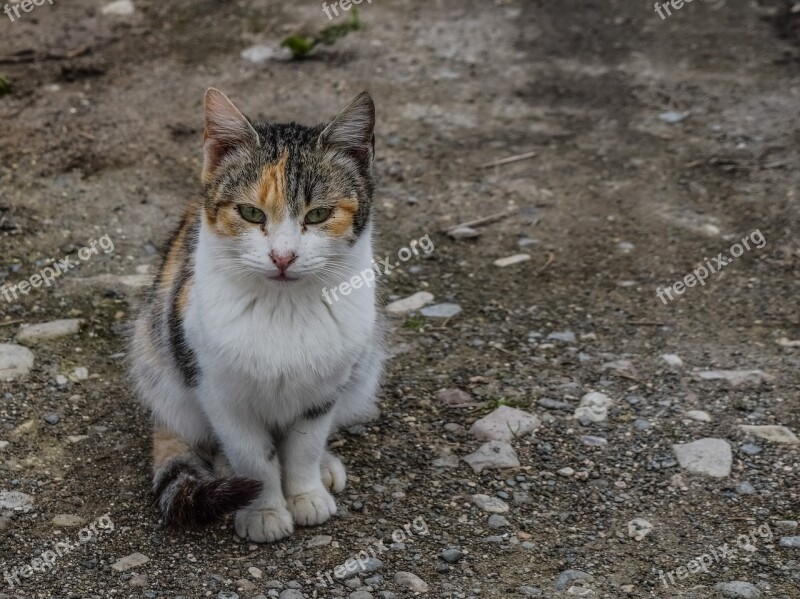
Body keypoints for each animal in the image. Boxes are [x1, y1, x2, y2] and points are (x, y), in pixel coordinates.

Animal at [130, 89, 384, 544]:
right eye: (250, 213)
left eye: (318, 215)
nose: (283, 257)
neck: (283, 307)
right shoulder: (219, 393)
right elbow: (253, 458)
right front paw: (263, 510)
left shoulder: (324, 390)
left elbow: (303, 447)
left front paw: (306, 494)